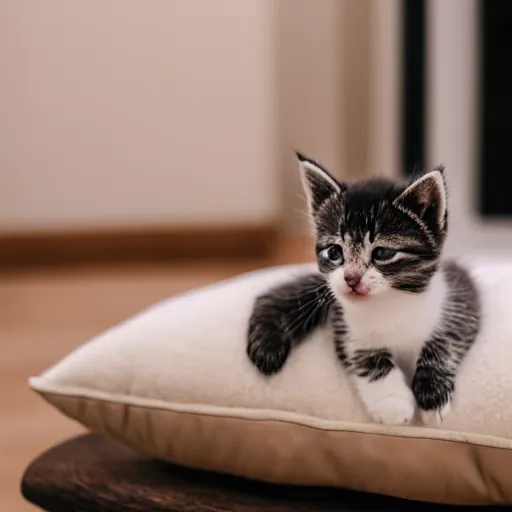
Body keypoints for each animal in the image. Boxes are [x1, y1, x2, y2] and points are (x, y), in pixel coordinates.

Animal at [247, 154, 480, 426]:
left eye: (383, 253)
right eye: (334, 252)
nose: (351, 278)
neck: (390, 302)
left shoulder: (460, 293)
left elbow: (446, 340)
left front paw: (433, 396)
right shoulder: (345, 323)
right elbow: (365, 355)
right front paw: (392, 402)